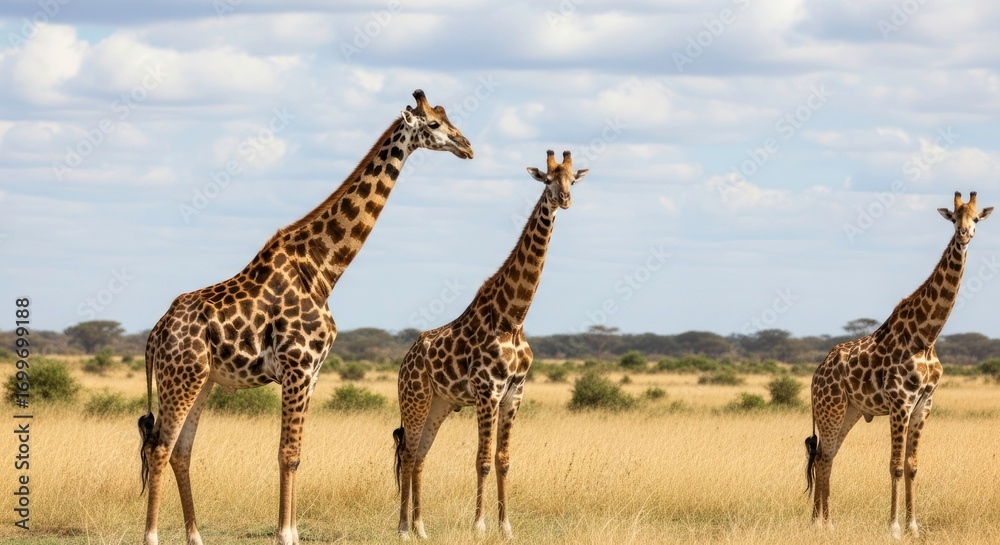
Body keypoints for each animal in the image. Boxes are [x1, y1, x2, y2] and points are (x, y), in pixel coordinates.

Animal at [137, 90, 473, 545]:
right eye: (435, 124)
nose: (467, 147)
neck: (321, 270)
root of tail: (155, 335)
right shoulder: (297, 368)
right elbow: (288, 454)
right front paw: (285, 533)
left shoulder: (312, 373)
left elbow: (297, 454)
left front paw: (292, 531)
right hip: (181, 377)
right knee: (159, 447)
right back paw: (153, 535)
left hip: (201, 380)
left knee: (181, 451)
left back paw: (195, 536)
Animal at [392, 150, 587, 540]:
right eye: (547, 180)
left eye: (573, 179)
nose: (564, 200)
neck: (513, 319)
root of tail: (406, 360)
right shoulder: (487, 391)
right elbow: (481, 461)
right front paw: (480, 526)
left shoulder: (514, 393)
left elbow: (503, 461)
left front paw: (506, 527)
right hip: (415, 398)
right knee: (407, 453)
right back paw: (404, 528)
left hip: (440, 404)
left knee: (419, 455)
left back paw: (421, 527)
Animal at [805, 191, 993, 538]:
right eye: (953, 218)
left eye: (976, 218)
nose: (964, 235)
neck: (926, 336)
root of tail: (816, 373)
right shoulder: (900, 402)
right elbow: (894, 466)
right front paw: (893, 528)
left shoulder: (924, 404)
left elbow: (912, 466)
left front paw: (914, 527)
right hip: (830, 409)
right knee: (822, 456)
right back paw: (822, 523)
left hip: (850, 411)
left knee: (827, 456)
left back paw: (822, 522)